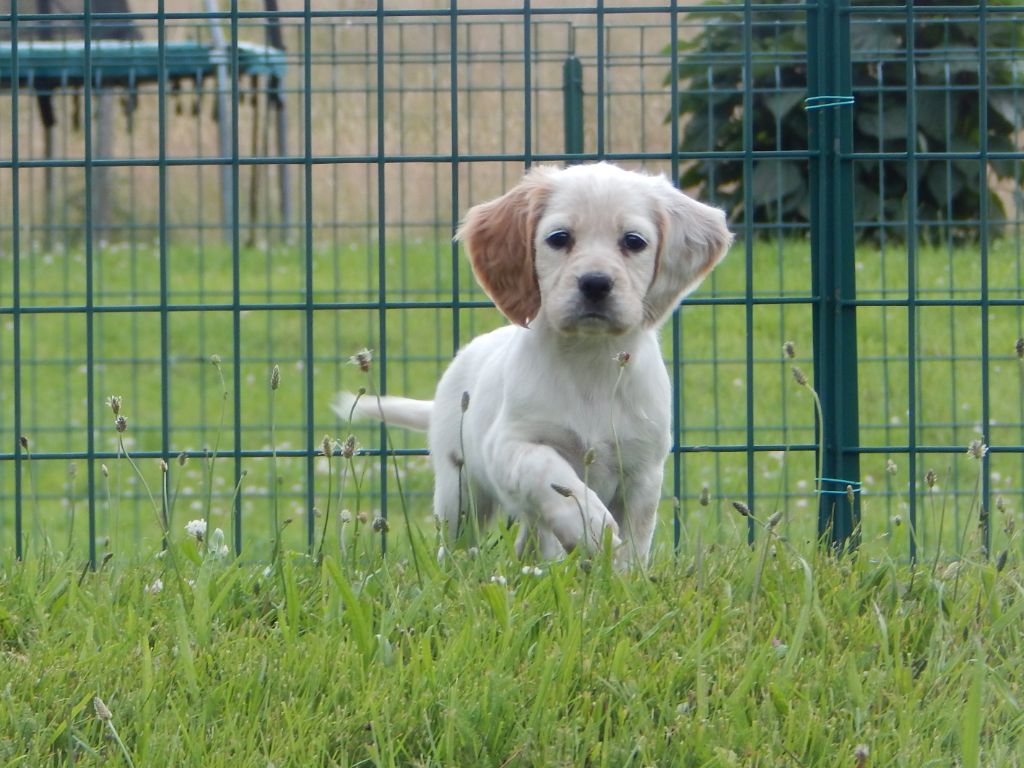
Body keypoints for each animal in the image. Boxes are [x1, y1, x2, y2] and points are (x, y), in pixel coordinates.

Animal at [334, 163, 731, 567]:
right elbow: (549, 473)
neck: (590, 360)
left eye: (634, 242)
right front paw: (588, 525)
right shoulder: (507, 444)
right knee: (459, 541)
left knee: (533, 538)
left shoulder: (642, 470)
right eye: (559, 238)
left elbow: (633, 543)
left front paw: (620, 572)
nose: (595, 283)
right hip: (458, 490)